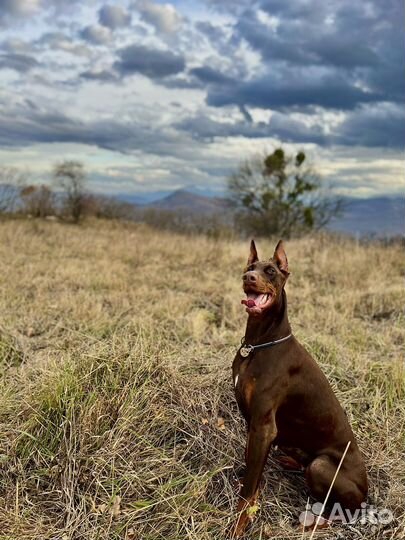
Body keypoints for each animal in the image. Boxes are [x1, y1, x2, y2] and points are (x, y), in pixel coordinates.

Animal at [230, 240, 366, 536]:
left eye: (270, 271)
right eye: (249, 267)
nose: (248, 278)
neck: (258, 344)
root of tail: (368, 493)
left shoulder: (264, 425)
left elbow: (249, 485)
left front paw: (239, 522)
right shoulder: (253, 424)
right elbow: (251, 468)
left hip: (321, 467)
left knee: (343, 511)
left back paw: (317, 521)